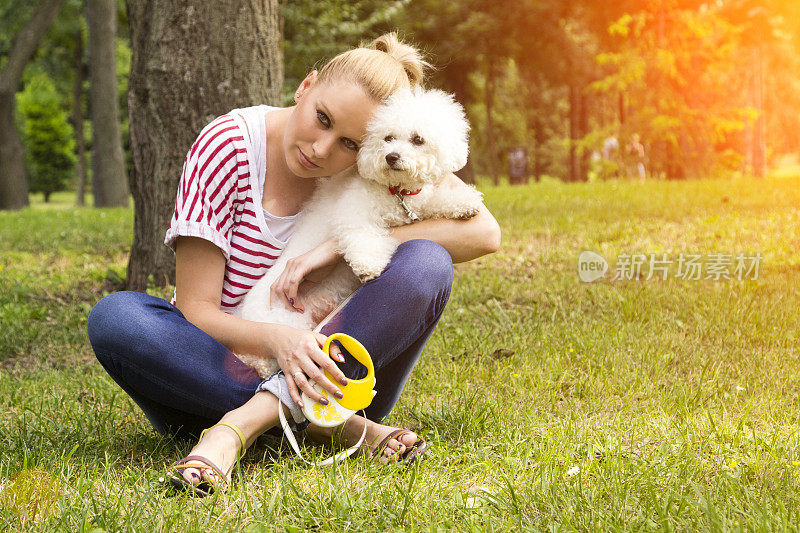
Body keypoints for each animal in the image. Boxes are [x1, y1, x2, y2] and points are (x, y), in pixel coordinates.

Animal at [231, 87, 482, 376]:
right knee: (258, 355)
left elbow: (438, 200)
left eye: (418, 139)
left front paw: (465, 203)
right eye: (388, 138)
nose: (391, 157)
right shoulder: (354, 213)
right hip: (284, 322)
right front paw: (368, 266)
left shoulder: (419, 204)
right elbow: (363, 237)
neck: (395, 192)